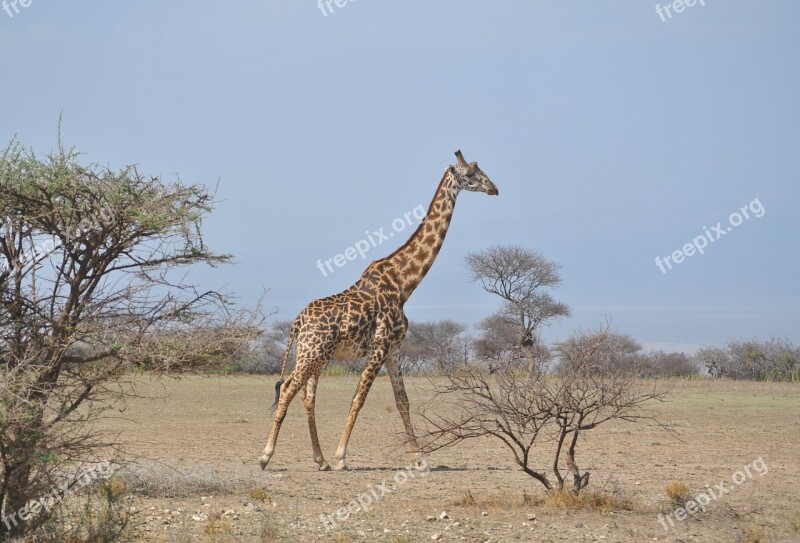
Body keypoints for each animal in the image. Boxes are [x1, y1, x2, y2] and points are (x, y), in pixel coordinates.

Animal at [262, 152, 496, 472]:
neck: (404, 283)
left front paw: (420, 459)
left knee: (307, 397)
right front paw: (342, 456)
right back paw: (267, 456)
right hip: (312, 353)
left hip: (315, 356)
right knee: (287, 389)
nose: (494, 188)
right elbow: (358, 398)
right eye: (471, 175)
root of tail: (297, 323)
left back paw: (320, 460)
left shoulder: (395, 348)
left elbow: (402, 401)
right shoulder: (380, 344)